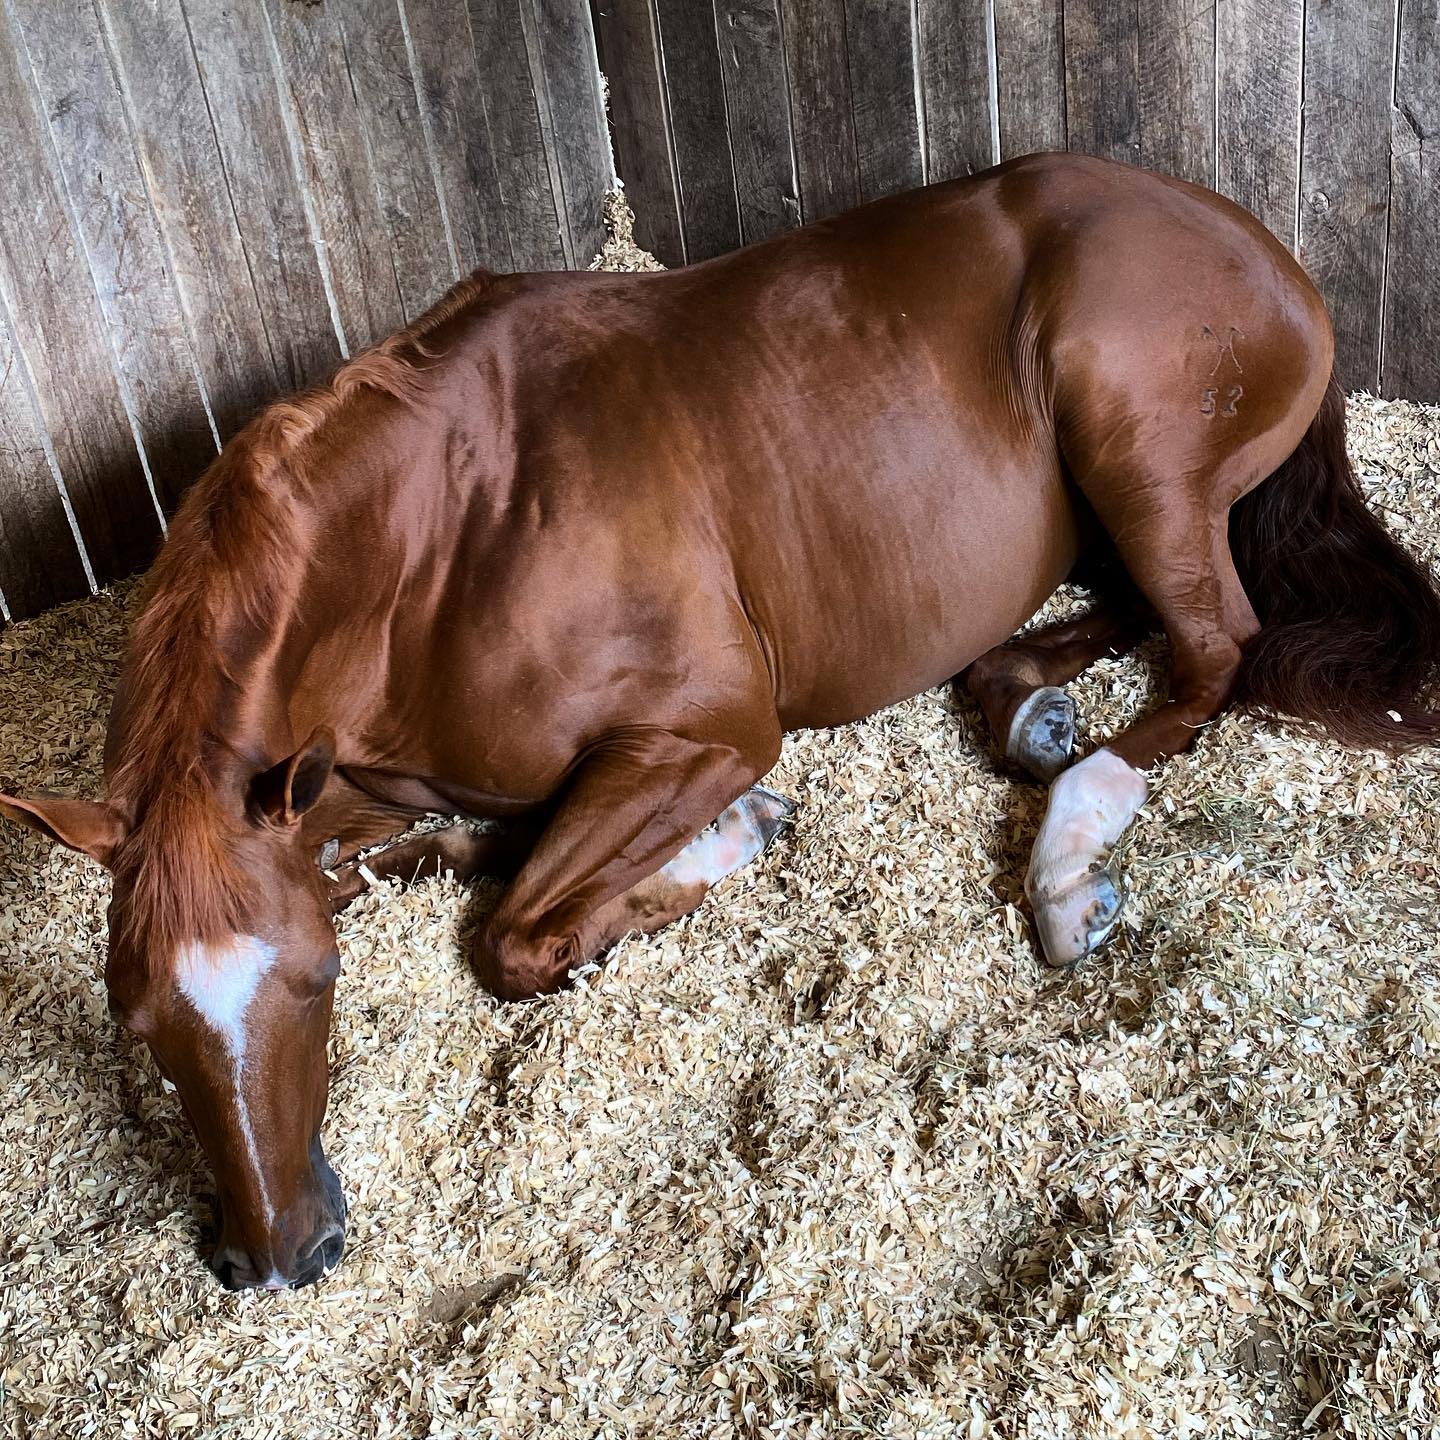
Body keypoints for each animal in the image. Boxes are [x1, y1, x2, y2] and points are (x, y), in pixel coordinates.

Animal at [4, 152, 1438, 1291]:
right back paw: (1028, 711)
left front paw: (729, 838)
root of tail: (1269, 258)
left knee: (1217, 649)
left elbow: (516, 935)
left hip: (1134, 452)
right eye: (139, 1026)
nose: (280, 1258)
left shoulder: (701, 733)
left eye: (318, 982)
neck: (445, 539)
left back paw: (1070, 856)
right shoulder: (341, 803)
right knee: (1140, 620)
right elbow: (443, 854)